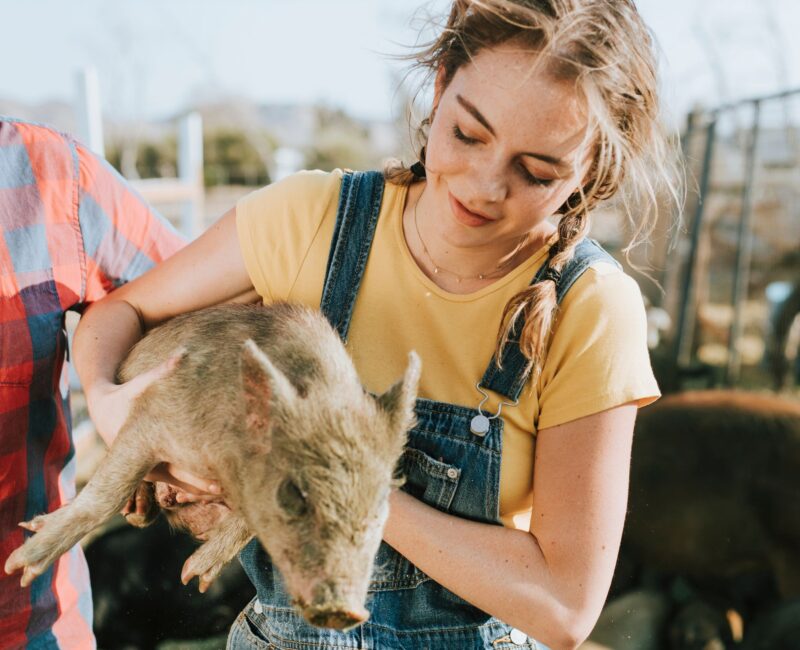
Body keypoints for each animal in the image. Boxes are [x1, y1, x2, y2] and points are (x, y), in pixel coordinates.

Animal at [6, 302, 418, 628]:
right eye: (294, 493)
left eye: (380, 505)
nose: (344, 611)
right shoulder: (158, 410)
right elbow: (106, 493)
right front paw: (19, 566)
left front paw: (193, 577)